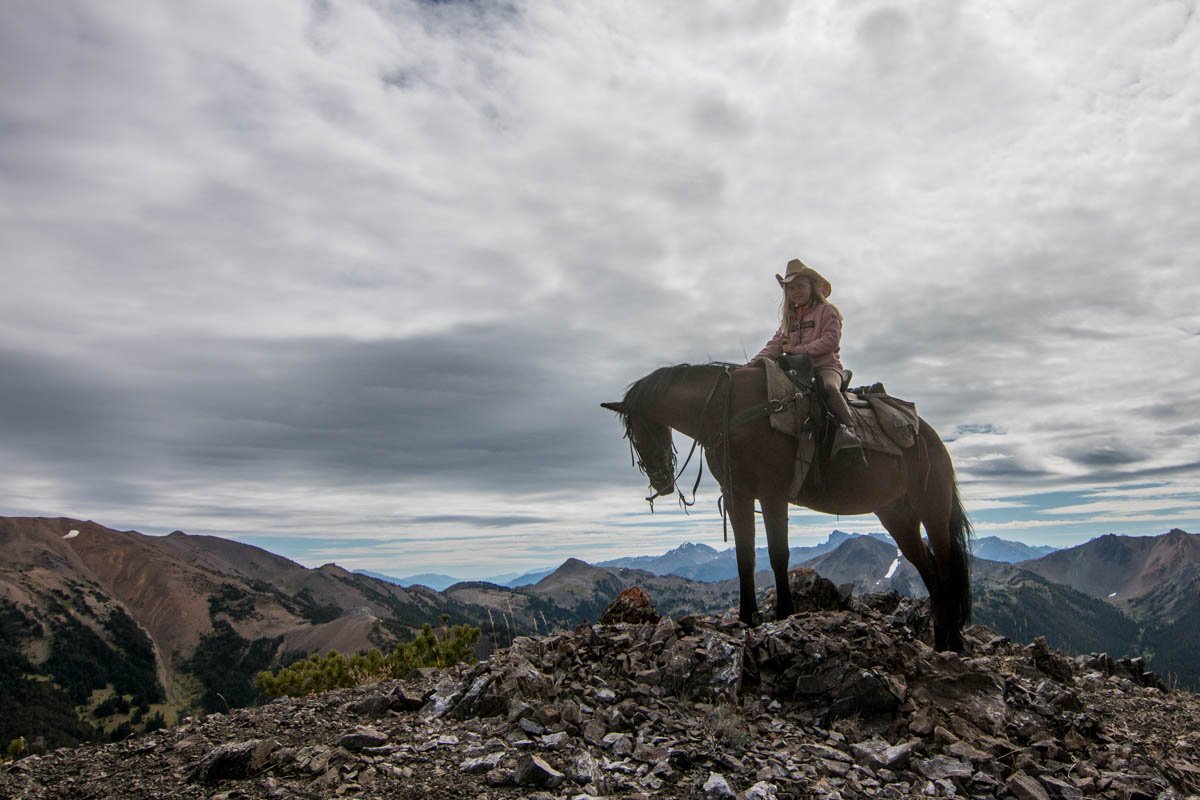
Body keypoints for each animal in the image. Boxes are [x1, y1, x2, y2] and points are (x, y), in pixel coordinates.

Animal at [600, 362, 974, 652]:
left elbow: (778, 554)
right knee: (928, 568)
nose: (662, 482)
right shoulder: (737, 496)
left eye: (641, 431)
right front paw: (748, 616)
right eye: (633, 437)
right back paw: (941, 639)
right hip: (897, 515)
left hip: (933, 509)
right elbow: (745, 557)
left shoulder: (772, 494)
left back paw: (955, 642)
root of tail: (929, 436)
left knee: (945, 567)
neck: (729, 411)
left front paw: (784, 612)